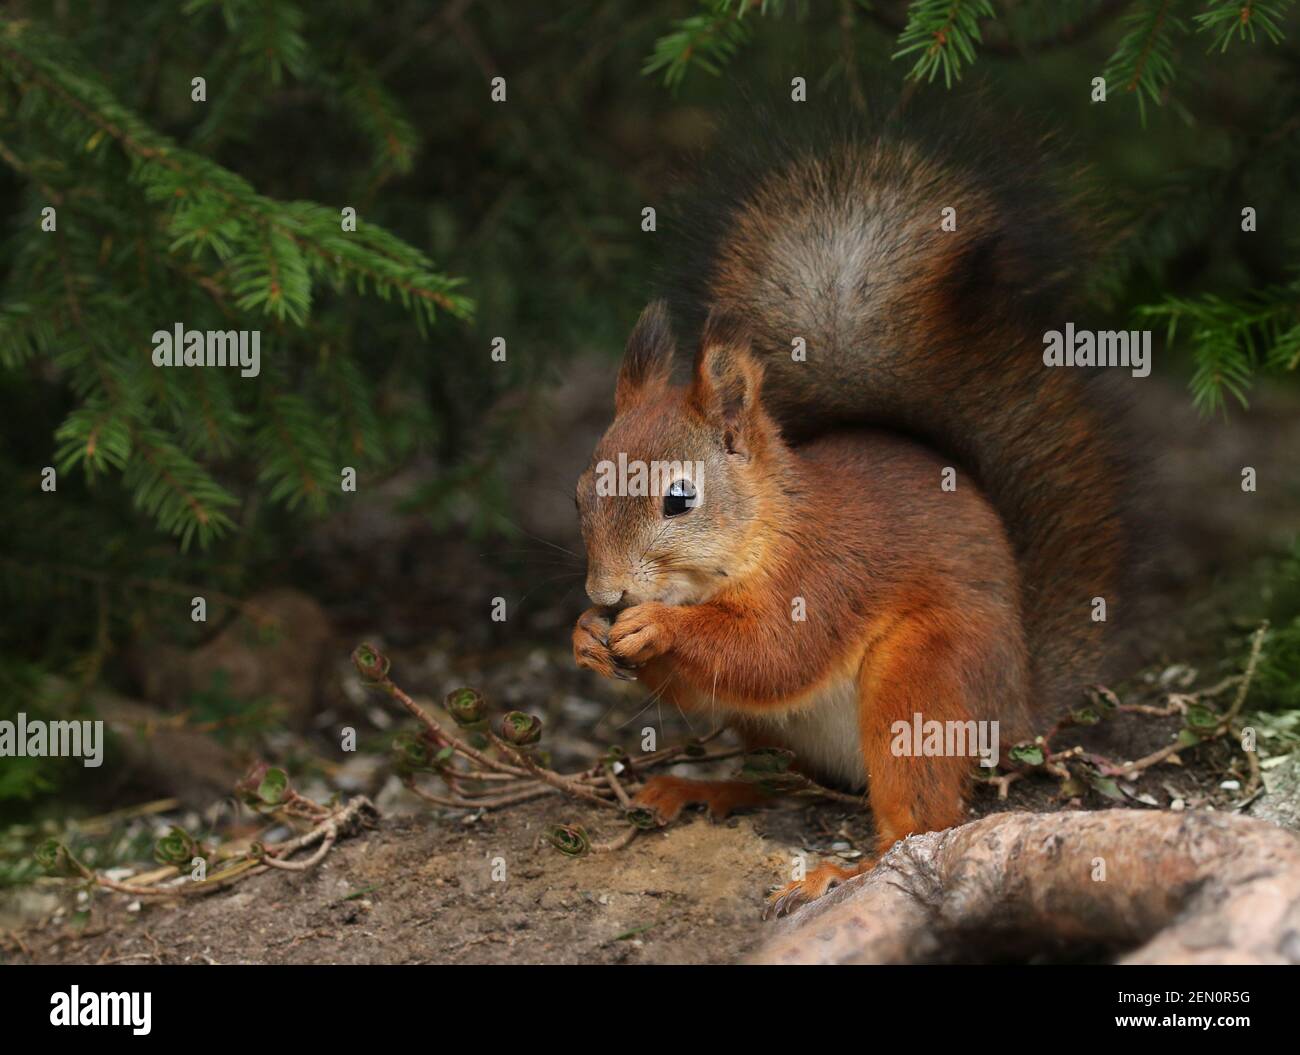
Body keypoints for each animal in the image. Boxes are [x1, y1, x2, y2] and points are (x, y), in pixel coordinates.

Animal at [572, 115, 1138, 914]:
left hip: (922, 676)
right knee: (794, 780)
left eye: (679, 498)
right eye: (580, 493)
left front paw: (657, 627)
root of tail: (1017, 709)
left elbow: (773, 652)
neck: (760, 537)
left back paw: (846, 870)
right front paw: (585, 638)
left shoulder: (826, 574)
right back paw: (704, 788)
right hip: (776, 733)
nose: (606, 594)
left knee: (922, 818)